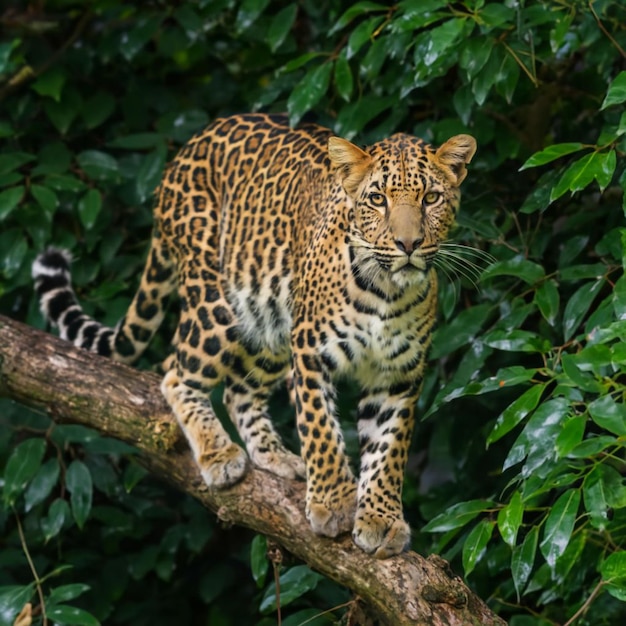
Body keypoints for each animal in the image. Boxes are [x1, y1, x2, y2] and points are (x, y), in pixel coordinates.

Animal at [33, 112, 472, 556]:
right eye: (378, 199)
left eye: (431, 198)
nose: (408, 244)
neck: (387, 291)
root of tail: (186, 149)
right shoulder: (310, 351)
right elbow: (320, 430)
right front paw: (333, 502)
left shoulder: (398, 376)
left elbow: (389, 450)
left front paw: (381, 519)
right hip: (217, 303)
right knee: (174, 372)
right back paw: (218, 454)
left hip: (270, 320)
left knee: (237, 391)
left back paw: (276, 456)